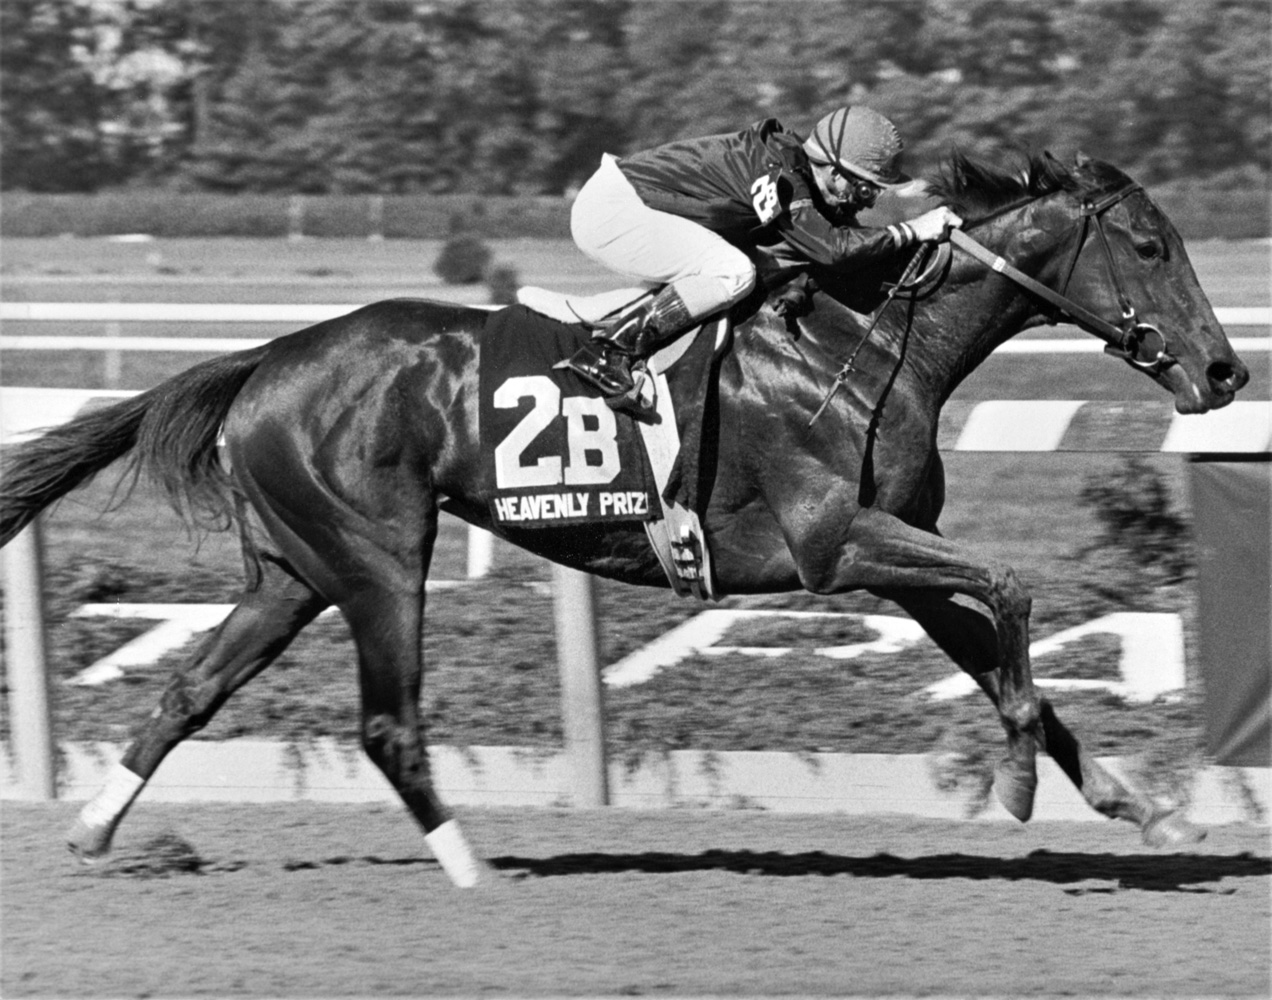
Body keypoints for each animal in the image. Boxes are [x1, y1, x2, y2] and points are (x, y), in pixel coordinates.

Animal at [0, 148, 1246, 880]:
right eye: (1149, 245)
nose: (1226, 371)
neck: (864, 339)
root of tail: (265, 358)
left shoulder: (892, 552)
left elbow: (1003, 654)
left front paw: (1142, 808)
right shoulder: (833, 543)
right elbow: (1013, 591)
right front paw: (1018, 788)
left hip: (292, 570)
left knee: (189, 689)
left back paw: (98, 828)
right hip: (377, 558)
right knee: (389, 722)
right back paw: (472, 866)